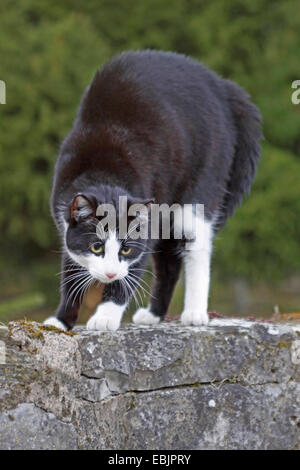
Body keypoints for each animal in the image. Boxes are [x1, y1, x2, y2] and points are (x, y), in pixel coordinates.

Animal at [43, 50, 262, 330]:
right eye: (96, 247)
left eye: (125, 249)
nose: (110, 272)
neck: (104, 173)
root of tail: (223, 87)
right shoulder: (67, 224)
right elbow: (70, 274)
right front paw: (60, 321)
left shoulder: (145, 227)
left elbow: (132, 271)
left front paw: (105, 317)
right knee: (169, 262)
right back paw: (153, 314)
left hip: (201, 184)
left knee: (197, 248)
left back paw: (194, 313)